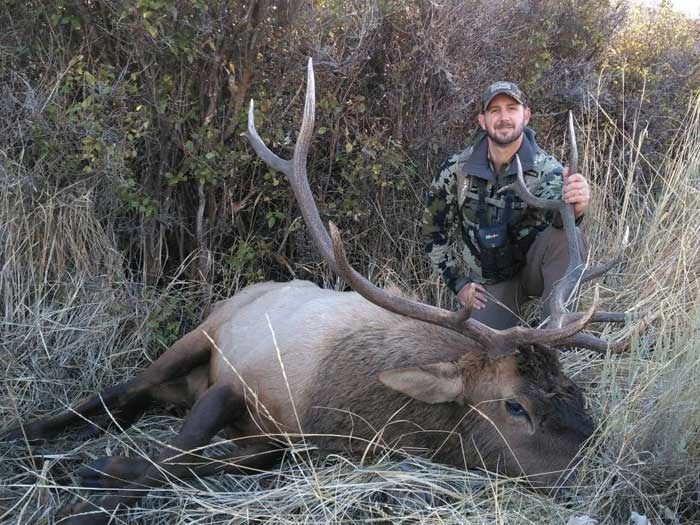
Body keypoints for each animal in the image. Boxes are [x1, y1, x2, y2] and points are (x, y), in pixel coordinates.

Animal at [2, 59, 633, 524]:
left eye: (576, 393)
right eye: (515, 406)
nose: (590, 468)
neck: (339, 410)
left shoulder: (277, 444)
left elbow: (196, 462)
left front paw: (103, 472)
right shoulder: (239, 378)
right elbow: (175, 455)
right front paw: (86, 499)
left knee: (135, 403)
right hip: (202, 331)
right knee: (118, 391)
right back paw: (26, 434)